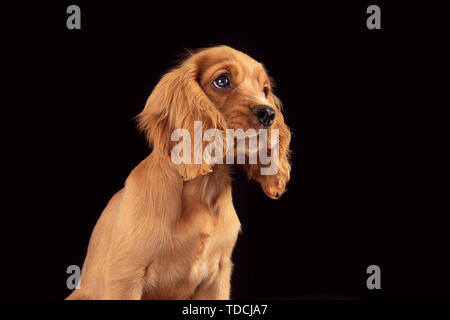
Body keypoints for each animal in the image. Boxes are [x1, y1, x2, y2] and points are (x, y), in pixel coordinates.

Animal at [67, 45, 292, 300]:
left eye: (265, 90)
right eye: (222, 80)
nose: (268, 114)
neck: (201, 188)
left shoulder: (217, 276)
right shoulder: (125, 274)